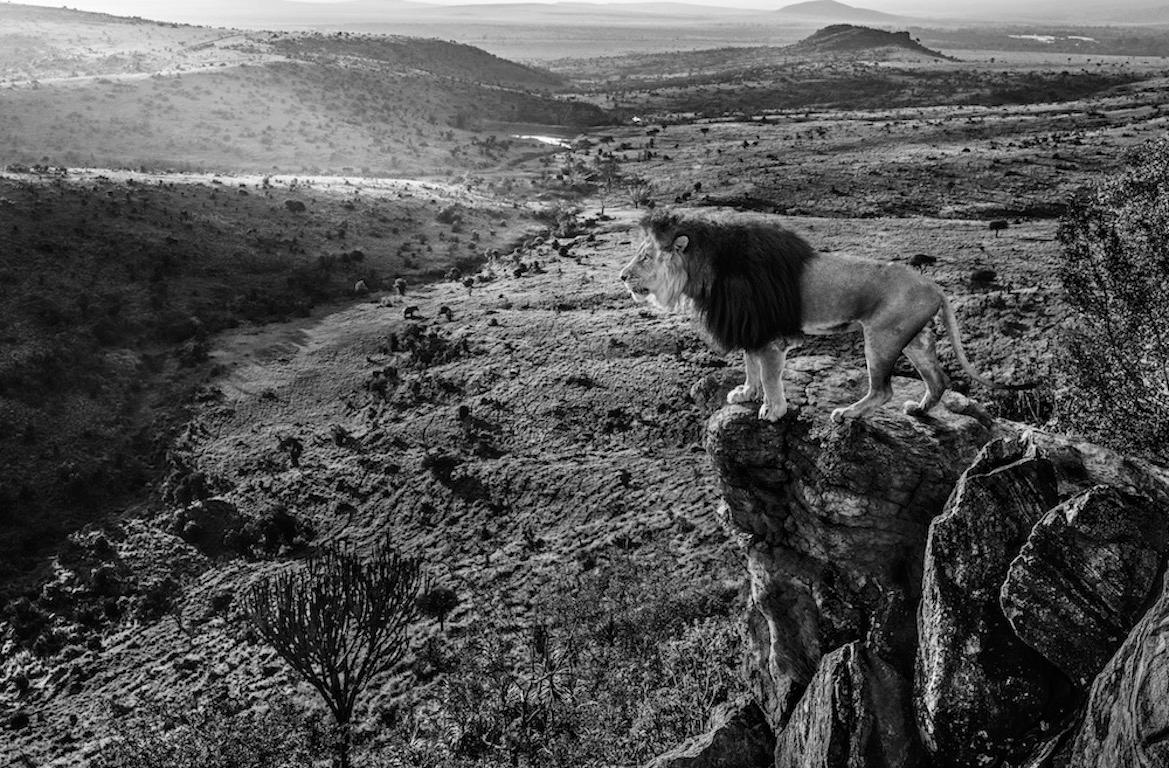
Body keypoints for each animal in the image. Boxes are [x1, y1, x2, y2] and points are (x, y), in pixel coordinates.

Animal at [621, 209, 1005, 423]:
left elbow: (770, 376)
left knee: (883, 390)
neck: (705, 271)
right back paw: (920, 410)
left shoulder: (770, 335)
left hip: (882, 338)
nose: (622, 276)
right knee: (939, 379)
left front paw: (773, 411)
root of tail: (934, 285)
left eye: (645, 257)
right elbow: (750, 366)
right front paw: (745, 393)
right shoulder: (749, 325)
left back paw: (849, 413)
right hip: (915, 339)